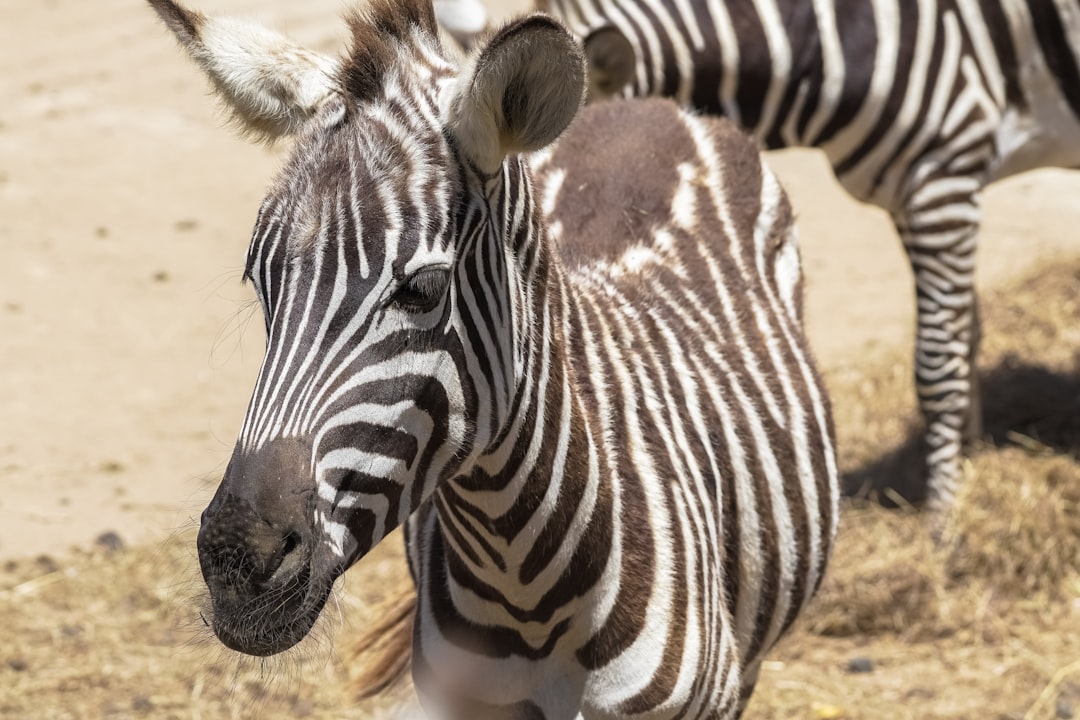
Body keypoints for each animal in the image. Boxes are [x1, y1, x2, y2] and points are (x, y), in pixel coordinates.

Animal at [432, 0, 1080, 518]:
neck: (831, 43)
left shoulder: (942, 174)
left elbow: (938, 362)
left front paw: (944, 520)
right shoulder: (913, 189)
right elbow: (966, 333)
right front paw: (969, 461)